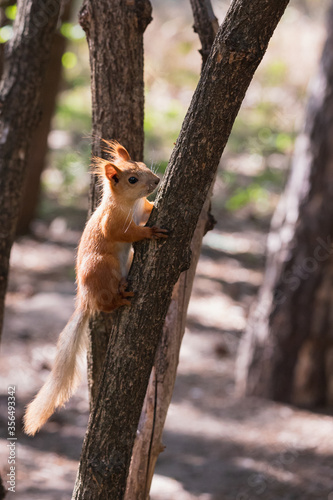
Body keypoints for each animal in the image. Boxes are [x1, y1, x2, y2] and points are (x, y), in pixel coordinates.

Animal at [23, 140, 167, 434]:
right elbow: (125, 233)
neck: (128, 203)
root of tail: (85, 299)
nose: (157, 180)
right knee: (106, 304)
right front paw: (148, 233)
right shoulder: (111, 224)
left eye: (143, 165)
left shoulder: (142, 209)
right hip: (100, 267)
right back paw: (121, 296)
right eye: (132, 179)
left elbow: (148, 209)